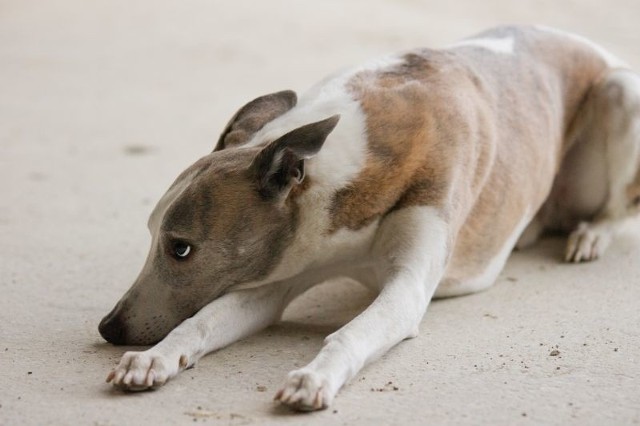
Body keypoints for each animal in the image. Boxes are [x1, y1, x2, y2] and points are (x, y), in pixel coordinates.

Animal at [99, 25, 640, 410]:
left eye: (181, 248)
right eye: (154, 236)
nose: (109, 328)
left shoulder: (406, 289)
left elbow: (351, 332)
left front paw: (314, 377)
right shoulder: (277, 276)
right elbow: (202, 323)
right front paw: (153, 359)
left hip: (621, 93)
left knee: (620, 205)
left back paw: (591, 235)